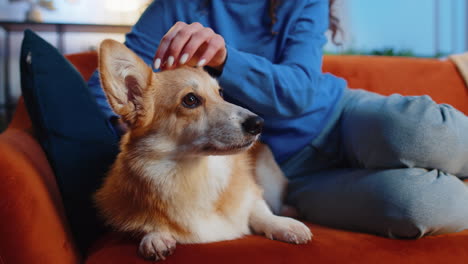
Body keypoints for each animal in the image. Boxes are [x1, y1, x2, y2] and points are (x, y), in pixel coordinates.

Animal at [94, 40, 310, 260]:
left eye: (220, 93)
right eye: (190, 100)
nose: (258, 124)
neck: (196, 171)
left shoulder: (252, 192)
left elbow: (260, 210)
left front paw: (284, 225)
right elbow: (143, 225)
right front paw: (155, 237)